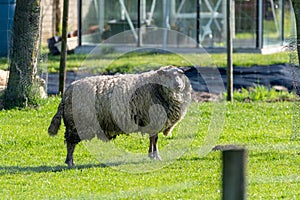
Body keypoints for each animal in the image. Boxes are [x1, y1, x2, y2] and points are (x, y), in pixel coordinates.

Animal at [47, 66, 191, 167]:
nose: (178, 86)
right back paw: (70, 162)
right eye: (167, 76)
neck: (156, 87)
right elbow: (154, 140)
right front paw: (156, 156)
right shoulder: (155, 120)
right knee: (70, 143)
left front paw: (151, 155)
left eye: (180, 74)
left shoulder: (151, 123)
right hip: (77, 124)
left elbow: (152, 139)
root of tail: (67, 92)